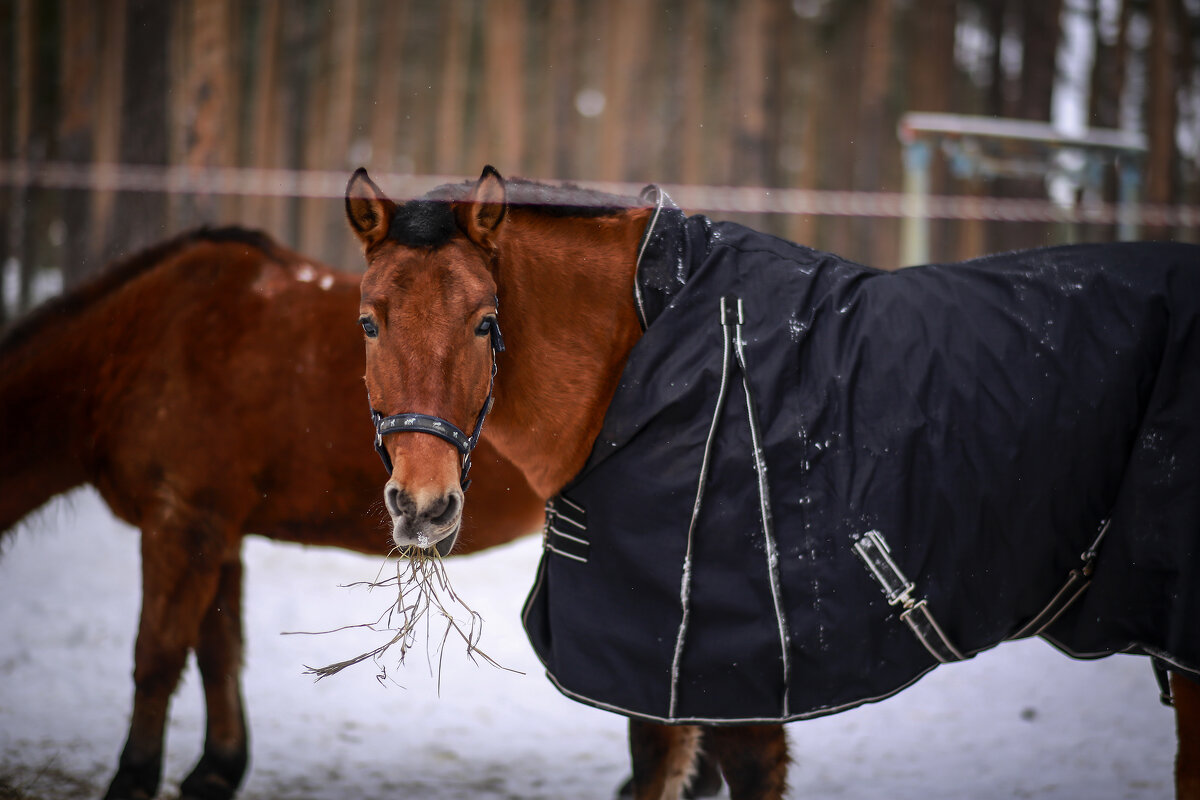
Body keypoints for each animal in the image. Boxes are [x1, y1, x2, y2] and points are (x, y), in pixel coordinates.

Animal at [0, 226, 544, 800]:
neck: (139, 346)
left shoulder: (180, 522)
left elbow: (157, 654)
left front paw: (134, 776)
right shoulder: (218, 534)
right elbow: (218, 651)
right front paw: (217, 768)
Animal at [345, 164, 1200, 800]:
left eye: (486, 322)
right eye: (368, 321)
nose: (423, 506)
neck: (659, 362)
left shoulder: (729, 674)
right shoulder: (657, 672)